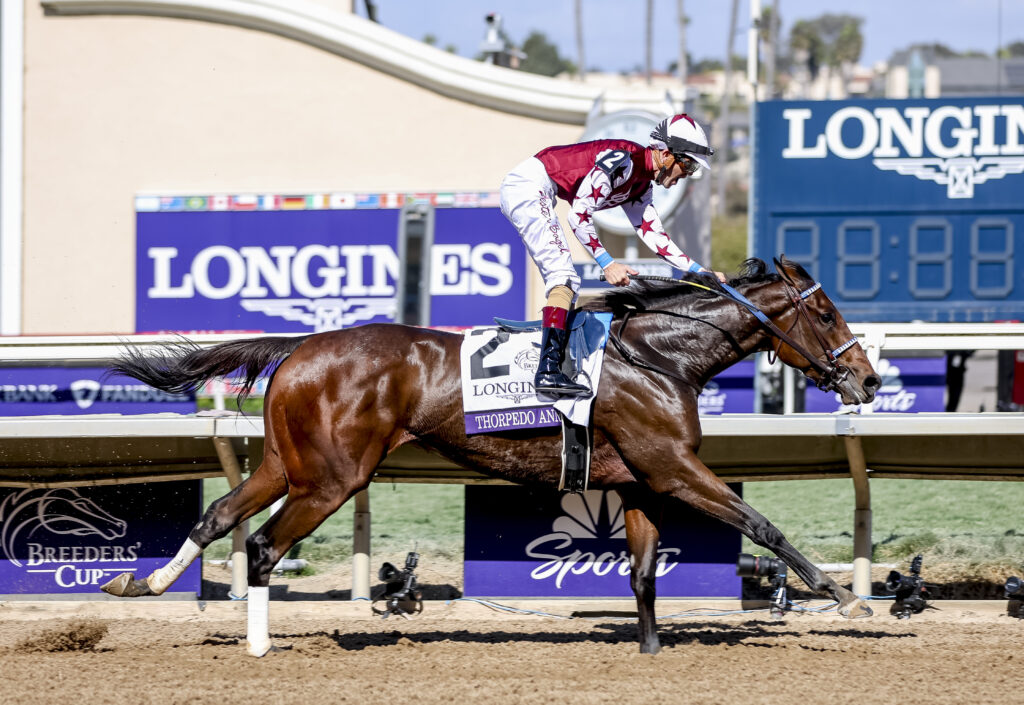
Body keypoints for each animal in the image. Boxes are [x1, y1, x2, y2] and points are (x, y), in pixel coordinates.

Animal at [99, 259, 880, 655]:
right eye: (826, 313)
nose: (868, 380)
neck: (659, 357)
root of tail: (299, 347)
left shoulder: (638, 483)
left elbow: (643, 573)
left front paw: (651, 652)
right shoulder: (674, 469)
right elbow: (761, 524)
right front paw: (841, 595)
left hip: (286, 465)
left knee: (221, 514)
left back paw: (143, 582)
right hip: (331, 479)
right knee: (261, 546)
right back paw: (258, 646)